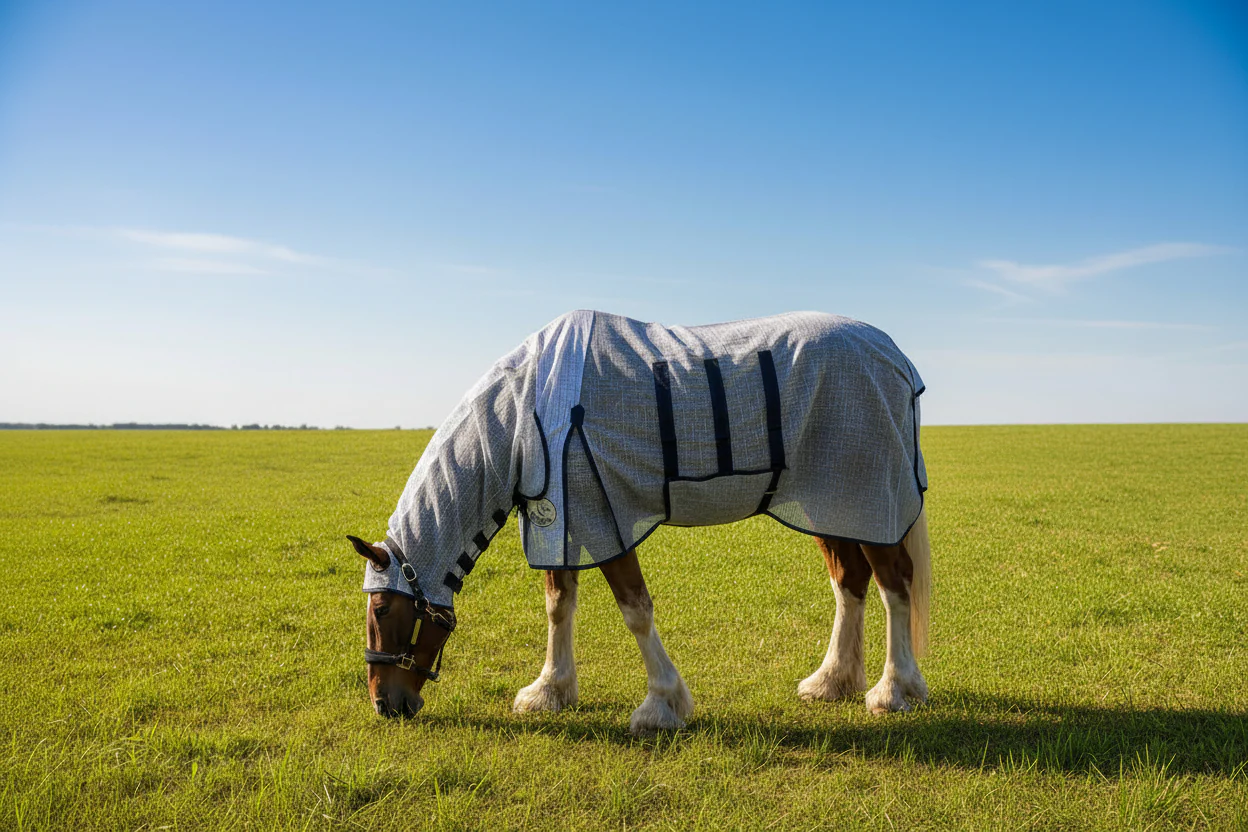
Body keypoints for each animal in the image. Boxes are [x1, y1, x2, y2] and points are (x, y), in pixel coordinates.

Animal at [349, 309, 930, 734]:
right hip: (832, 506)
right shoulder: (561, 524)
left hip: (867, 497)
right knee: (850, 582)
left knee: (894, 585)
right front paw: (550, 690)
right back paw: (833, 680)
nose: (384, 704)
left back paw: (894, 690)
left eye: (382, 608)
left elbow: (635, 611)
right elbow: (559, 606)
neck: (528, 415)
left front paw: (661, 705)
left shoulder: (603, 519)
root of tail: (895, 357)